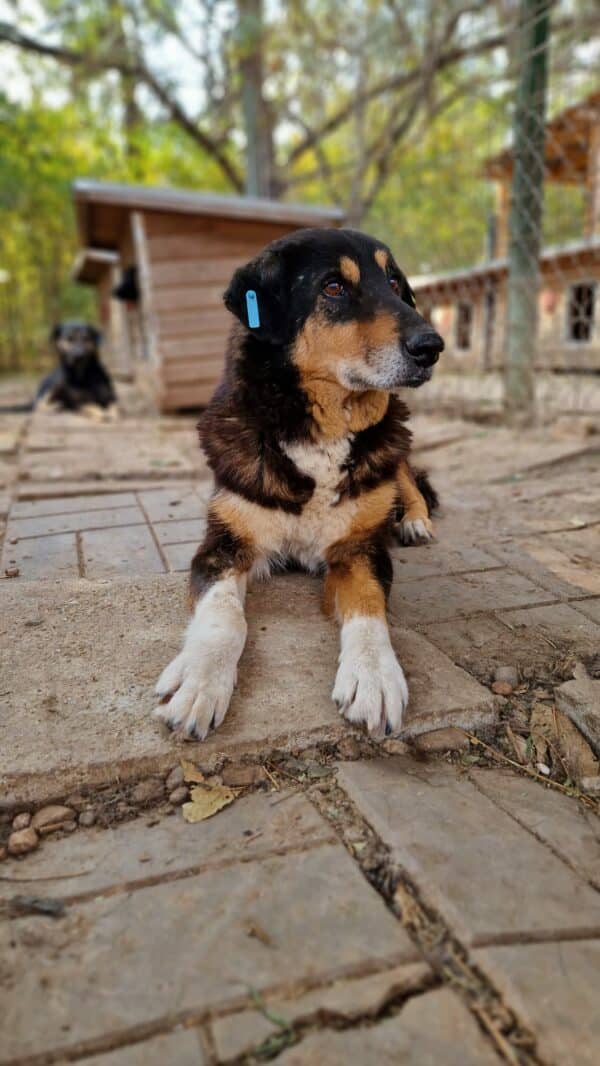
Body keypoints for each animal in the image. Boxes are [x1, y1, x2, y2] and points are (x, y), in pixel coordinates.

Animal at [157, 224, 443, 741]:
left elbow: (368, 606)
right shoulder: (223, 544)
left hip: (398, 444)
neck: (320, 435)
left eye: (394, 284)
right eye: (333, 287)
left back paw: (414, 521)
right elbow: (224, 616)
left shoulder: (360, 550)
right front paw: (201, 677)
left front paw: (374, 673)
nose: (432, 346)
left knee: (409, 481)